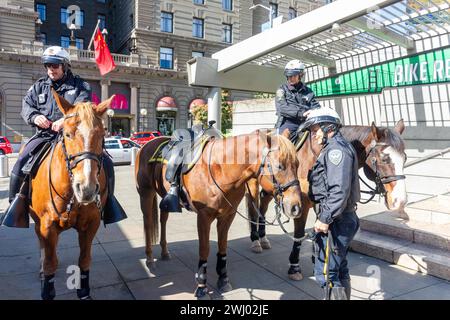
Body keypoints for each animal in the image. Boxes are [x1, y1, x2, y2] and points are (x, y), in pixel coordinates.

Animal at [31, 90, 113, 300]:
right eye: (67, 134)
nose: (86, 188)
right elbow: (49, 263)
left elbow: (84, 260)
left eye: (102, 135)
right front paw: (47, 290)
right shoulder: (47, 225)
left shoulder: (91, 224)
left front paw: (83, 292)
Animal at [134, 129, 302, 298]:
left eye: (298, 164)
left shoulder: (227, 216)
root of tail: (146, 145)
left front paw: (223, 279)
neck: (220, 170)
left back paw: (164, 252)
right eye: (279, 166)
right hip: (146, 194)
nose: (296, 207)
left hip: (164, 196)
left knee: (163, 219)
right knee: (148, 223)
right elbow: (204, 249)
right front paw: (201, 286)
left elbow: (223, 247)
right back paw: (149, 259)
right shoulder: (204, 217)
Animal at [246, 119, 408, 280]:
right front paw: (294, 266)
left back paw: (263, 238)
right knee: (254, 208)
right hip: (253, 184)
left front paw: (316, 260)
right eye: (384, 158)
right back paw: (255, 240)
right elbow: (299, 234)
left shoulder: (321, 205)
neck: (317, 154)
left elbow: (319, 229)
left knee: (263, 204)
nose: (400, 201)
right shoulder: (300, 205)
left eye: (405, 158)